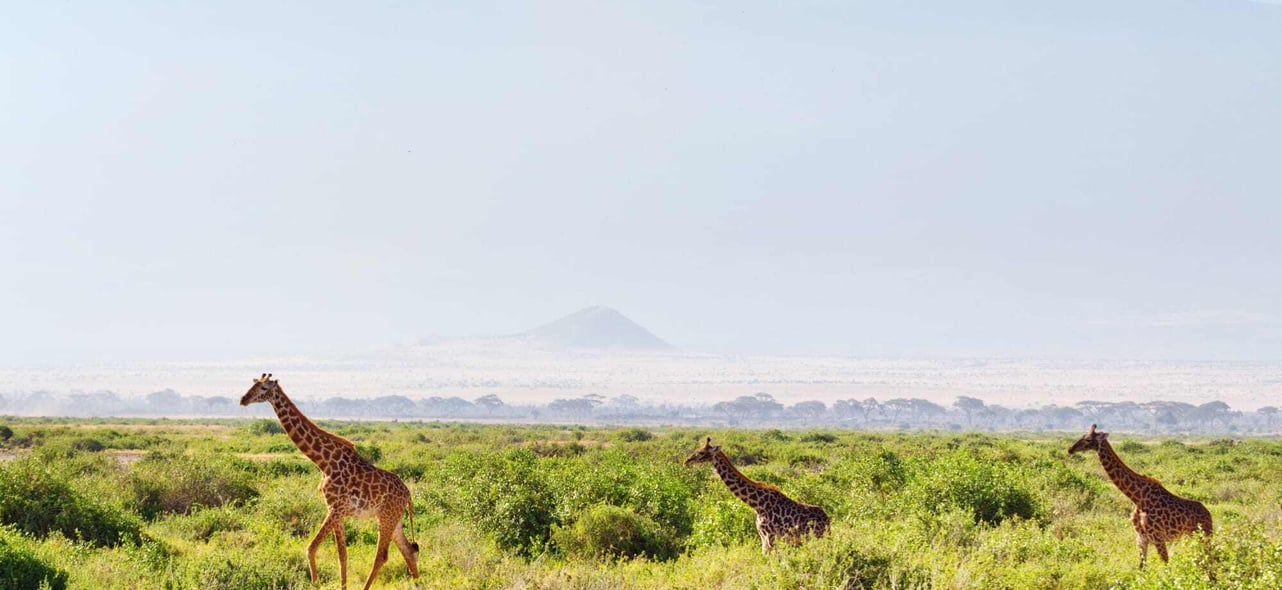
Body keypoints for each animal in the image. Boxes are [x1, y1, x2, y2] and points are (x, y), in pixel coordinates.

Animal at [239, 374, 420, 590]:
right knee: (408, 550)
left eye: (264, 388)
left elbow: (311, 548)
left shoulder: (335, 508)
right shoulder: (337, 511)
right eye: (253, 384)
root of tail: (408, 494)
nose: (243, 399)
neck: (323, 462)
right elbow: (342, 554)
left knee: (382, 556)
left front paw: (315, 583)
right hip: (392, 518)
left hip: (387, 517)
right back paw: (419, 584)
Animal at [687, 436, 825, 551]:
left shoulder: (771, 538)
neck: (757, 504)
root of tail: (827, 519)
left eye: (701, 452)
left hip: (815, 538)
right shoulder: (763, 539)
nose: (687, 461)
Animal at [1071, 420, 1210, 569]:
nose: (1070, 449)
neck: (1137, 497)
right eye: (1082, 435)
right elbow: (1142, 568)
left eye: (1088, 439)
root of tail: (1209, 514)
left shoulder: (1158, 538)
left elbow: (1166, 566)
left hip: (1203, 536)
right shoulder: (1141, 538)